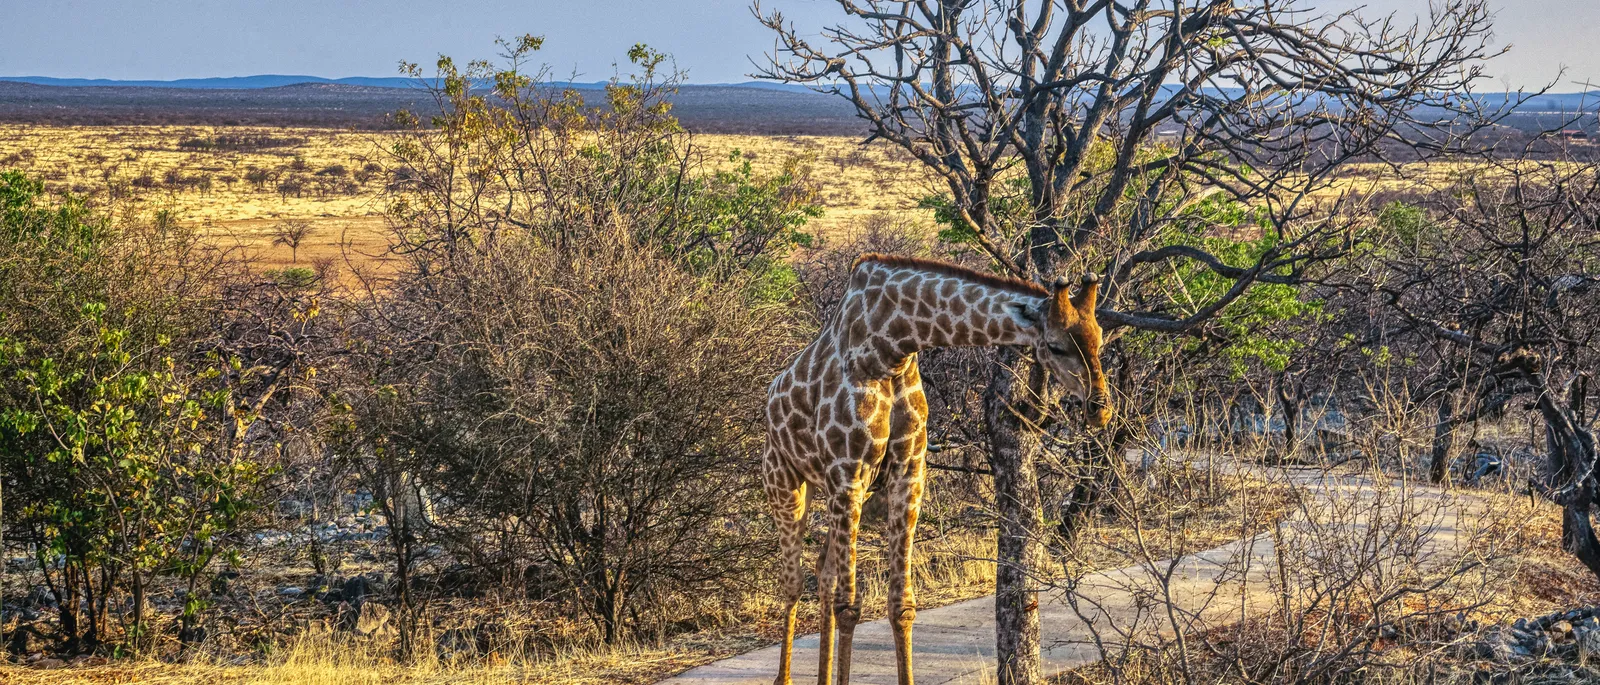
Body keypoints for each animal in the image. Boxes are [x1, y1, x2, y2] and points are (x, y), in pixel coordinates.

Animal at [762, 253, 1112, 685]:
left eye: (1100, 337)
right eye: (1055, 345)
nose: (1100, 408)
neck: (891, 347)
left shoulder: (908, 473)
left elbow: (901, 605)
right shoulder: (848, 473)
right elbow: (850, 607)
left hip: (836, 491)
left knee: (823, 572)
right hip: (786, 482)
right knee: (793, 581)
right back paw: (785, 676)